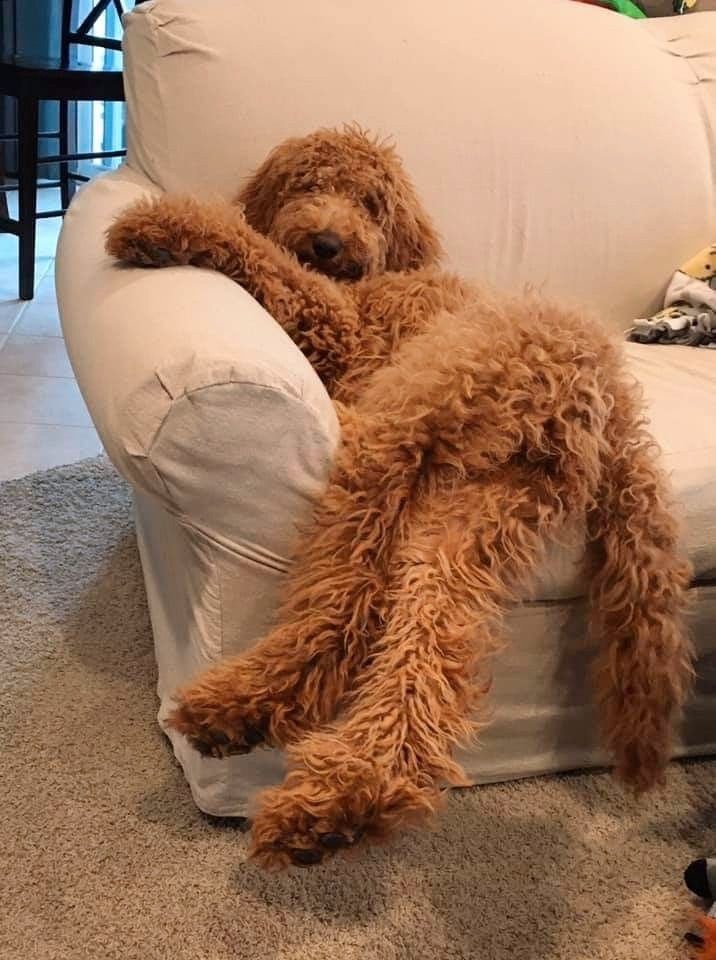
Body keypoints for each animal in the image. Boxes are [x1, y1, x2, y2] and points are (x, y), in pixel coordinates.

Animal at [103, 125, 692, 872]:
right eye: (309, 184)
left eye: (371, 203)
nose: (328, 240)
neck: (374, 276)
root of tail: (605, 401)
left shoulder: (337, 322)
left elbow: (267, 258)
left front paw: (160, 224)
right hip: (480, 513)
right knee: (426, 640)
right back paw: (340, 793)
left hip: (398, 429)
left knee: (345, 605)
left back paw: (252, 711)